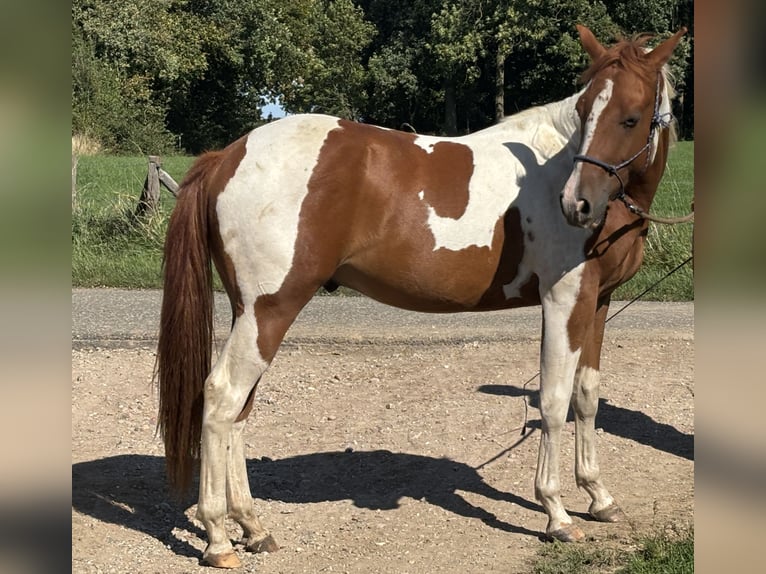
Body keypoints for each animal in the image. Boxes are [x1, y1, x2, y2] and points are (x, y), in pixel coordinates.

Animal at [157, 24, 687, 568]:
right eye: (583, 111)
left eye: (629, 117)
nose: (575, 204)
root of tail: (229, 156)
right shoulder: (563, 300)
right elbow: (554, 401)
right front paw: (556, 514)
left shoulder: (598, 303)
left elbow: (587, 397)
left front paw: (599, 498)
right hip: (270, 310)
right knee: (222, 398)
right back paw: (218, 538)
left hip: (251, 313)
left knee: (239, 412)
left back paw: (252, 526)